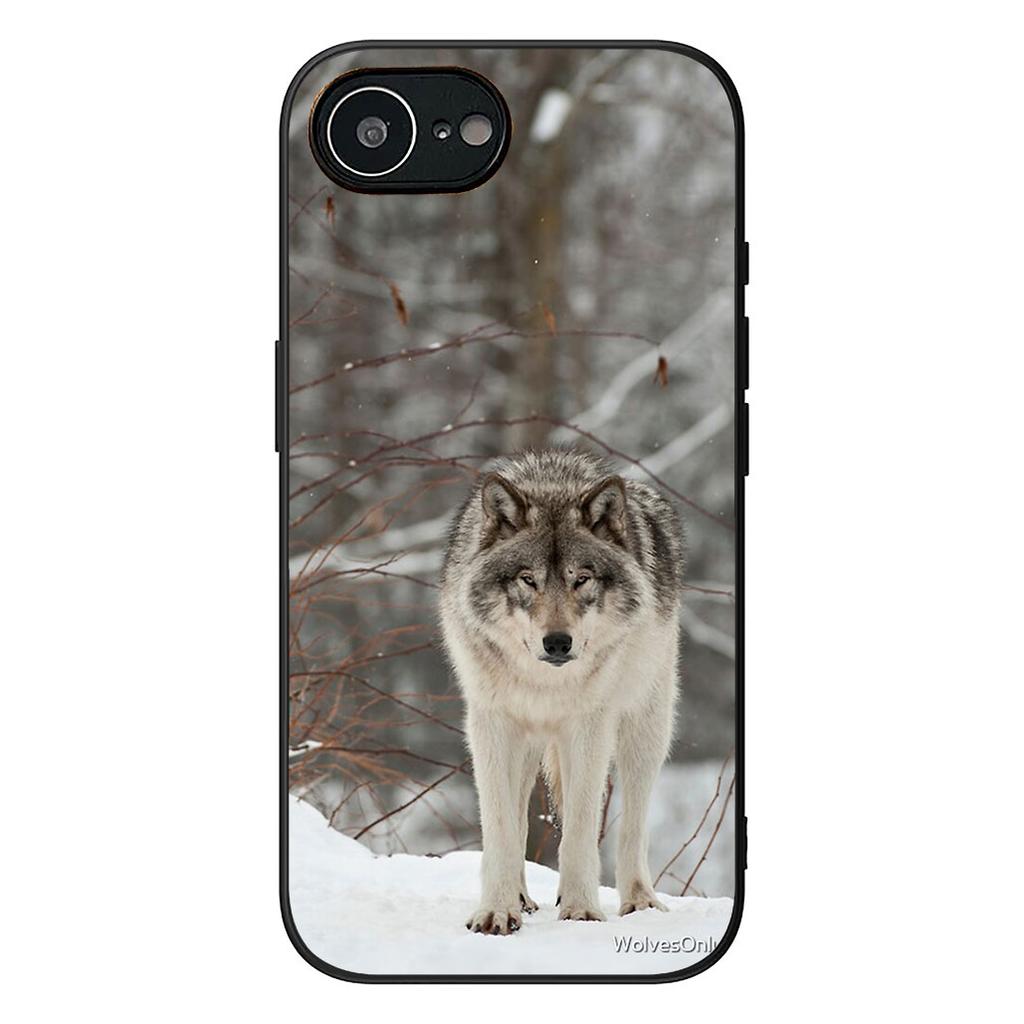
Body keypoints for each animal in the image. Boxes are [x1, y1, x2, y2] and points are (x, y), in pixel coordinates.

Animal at [439, 448, 684, 934]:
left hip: (646, 728)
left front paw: (581, 910)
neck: (544, 682)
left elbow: (580, 828)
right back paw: (520, 898)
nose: (557, 642)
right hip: (526, 741)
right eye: (528, 579)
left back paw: (639, 901)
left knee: (633, 825)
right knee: (517, 816)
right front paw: (496, 911)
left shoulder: (589, 727)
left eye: (581, 579)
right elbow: (500, 827)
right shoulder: (491, 724)